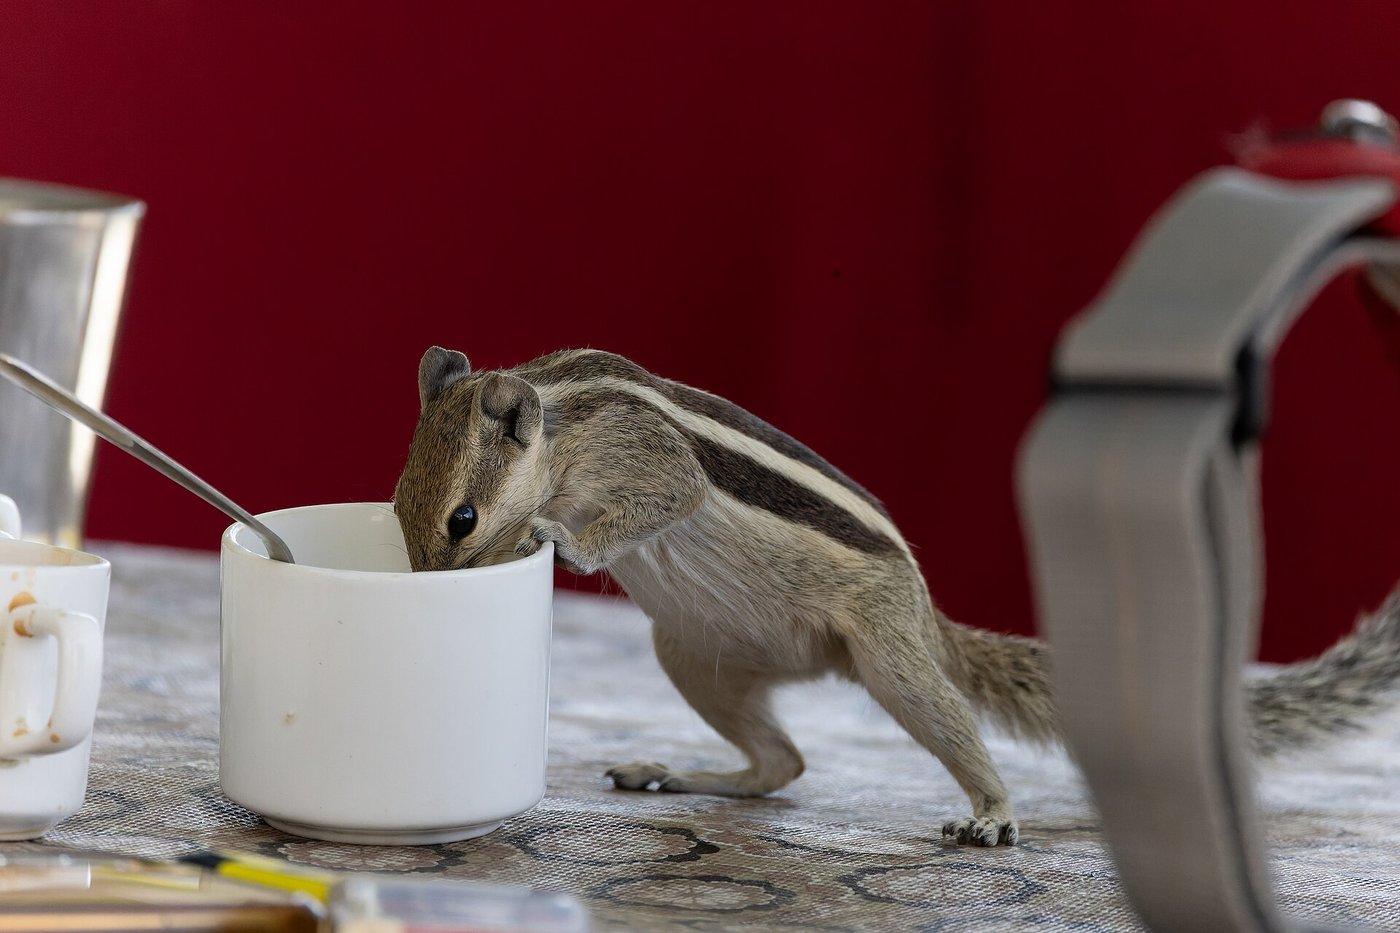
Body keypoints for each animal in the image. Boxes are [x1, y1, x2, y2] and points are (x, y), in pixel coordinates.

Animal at [393, 345, 1400, 847]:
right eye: (401, 501)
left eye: (462, 519)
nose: (425, 589)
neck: (562, 414)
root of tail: (924, 613)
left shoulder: (645, 455)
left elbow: (665, 495)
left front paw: (558, 538)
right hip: (694, 656)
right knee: (781, 763)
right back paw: (676, 771)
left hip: (887, 657)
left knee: (939, 725)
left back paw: (992, 812)